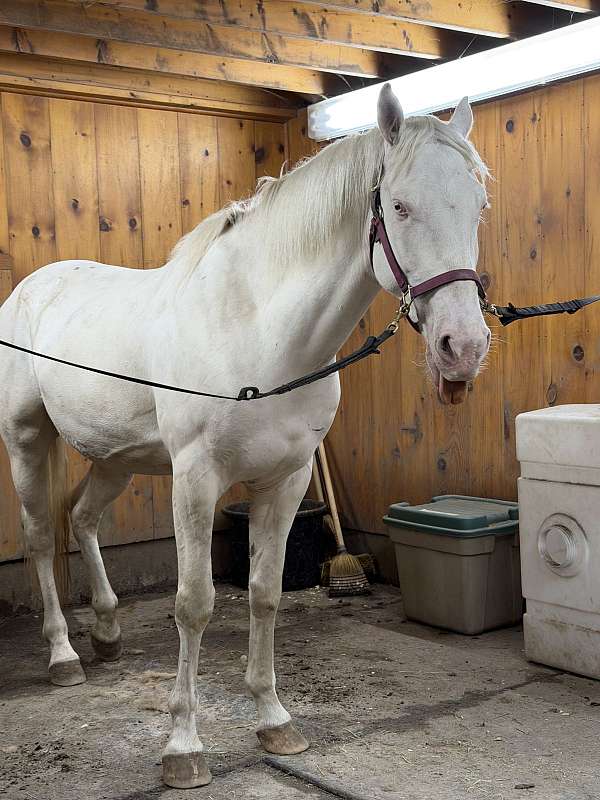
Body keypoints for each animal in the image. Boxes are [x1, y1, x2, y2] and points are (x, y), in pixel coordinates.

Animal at [0, 84, 491, 788]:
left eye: (478, 207)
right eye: (399, 206)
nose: (463, 348)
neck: (258, 329)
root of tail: (30, 289)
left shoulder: (285, 480)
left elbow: (263, 593)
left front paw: (274, 720)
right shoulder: (196, 479)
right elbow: (195, 603)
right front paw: (183, 746)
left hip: (118, 459)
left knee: (83, 519)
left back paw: (108, 631)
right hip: (26, 439)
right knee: (41, 535)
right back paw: (64, 654)